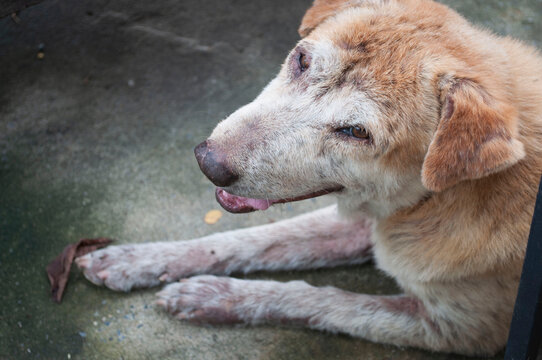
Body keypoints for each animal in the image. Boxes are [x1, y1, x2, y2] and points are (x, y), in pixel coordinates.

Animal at [75, 0, 542, 354]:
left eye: (356, 132)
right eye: (301, 60)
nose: (208, 162)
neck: (438, 201)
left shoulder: (461, 330)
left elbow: (317, 299)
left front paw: (214, 297)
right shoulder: (370, 220)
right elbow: (250, 239)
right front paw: (134, 259)